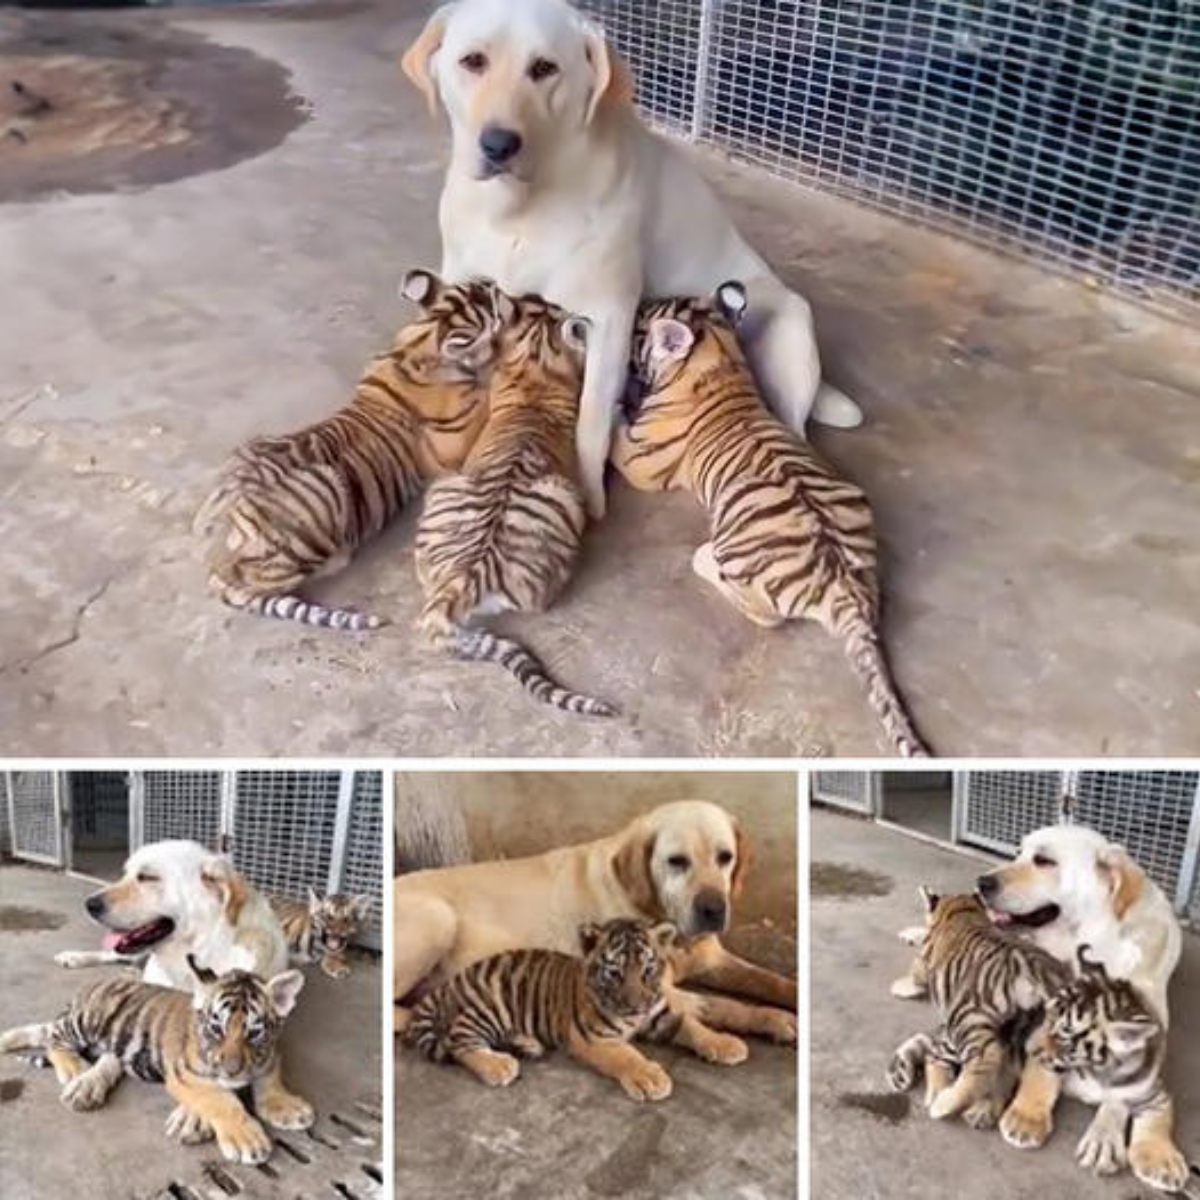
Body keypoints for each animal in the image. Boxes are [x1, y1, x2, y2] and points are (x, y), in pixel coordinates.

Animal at [398, 801, 801, 1094]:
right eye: (677, 862)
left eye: (725, 857)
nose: (714, 909)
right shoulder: (662, 990)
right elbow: (727, 1006)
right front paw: (772, 1020)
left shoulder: (713, 959)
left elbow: (770, 979)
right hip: (438, 919)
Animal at [403, 0, 864, 518]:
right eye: (473, 61)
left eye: (544, 69)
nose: (499, 144)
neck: (519, 207)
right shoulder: (462, 279)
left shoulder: (609, 317)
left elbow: (590, 421)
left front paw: (589, 499)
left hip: (791, 336)